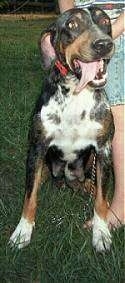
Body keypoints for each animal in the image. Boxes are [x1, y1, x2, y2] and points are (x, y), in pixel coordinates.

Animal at [10, 6, 115, 252]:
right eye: (72, 25)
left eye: (105, 21)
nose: (104, 44)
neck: (77, 93)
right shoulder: (36, 149)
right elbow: (30, 197)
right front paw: (22, 231)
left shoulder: (103, 150)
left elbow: (101, 199)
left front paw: (101, 232)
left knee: (90, 183)